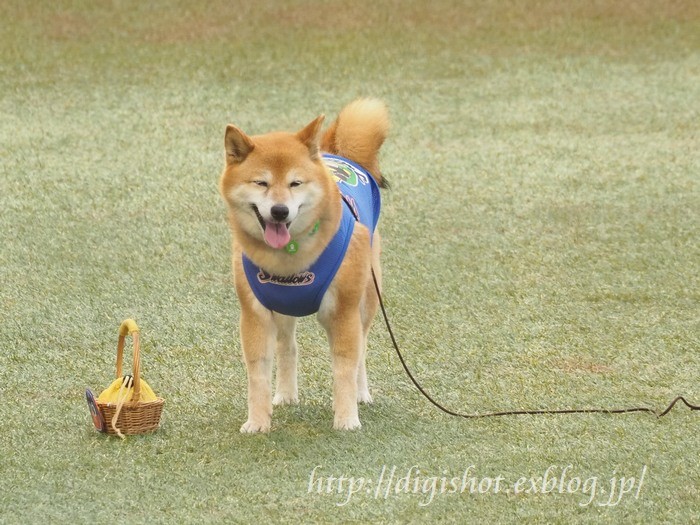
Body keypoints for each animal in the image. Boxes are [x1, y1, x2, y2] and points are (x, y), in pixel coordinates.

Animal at [219, 97, 388, 430]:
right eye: (261, 182)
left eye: (295, 183)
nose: (280, 211)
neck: (289, 259)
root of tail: (338, 154)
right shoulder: (255, 314)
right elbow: (257, 374)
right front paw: (257, 422)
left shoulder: (343, 312)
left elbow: (344, 369)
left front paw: (347, 418)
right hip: (283, 309)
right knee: (288, 347)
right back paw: (285, 395)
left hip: (366, 298)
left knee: (362, 348)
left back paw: (362, 394)